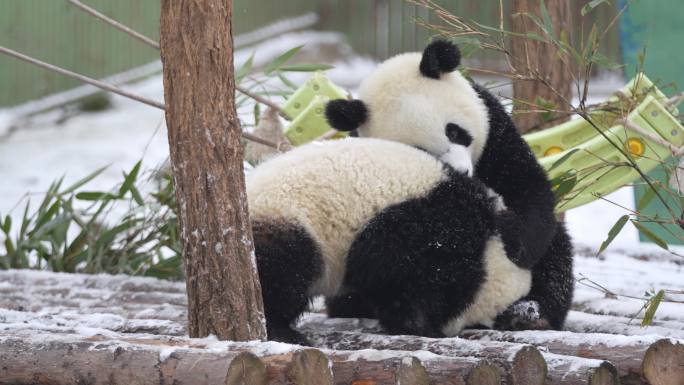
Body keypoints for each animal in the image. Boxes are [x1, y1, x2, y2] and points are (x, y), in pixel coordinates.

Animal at [248, 138, 532, 342]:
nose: (510, 319)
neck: (488, 246)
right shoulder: (426, 231)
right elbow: (391, 276)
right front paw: (422, 327)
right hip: (287, 220)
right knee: (285, 273)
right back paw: (282, 330)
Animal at [324, 40, 572, 332]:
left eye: (453, 131)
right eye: (421, 150)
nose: (463, 172)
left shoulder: (494, 130)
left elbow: (526, 185)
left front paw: (513, 239)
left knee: (557, 256)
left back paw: (530, 312)